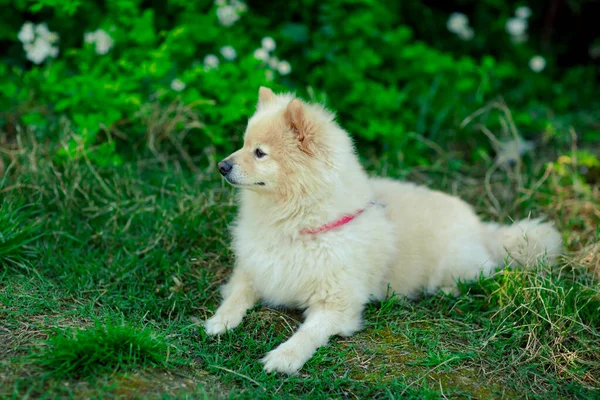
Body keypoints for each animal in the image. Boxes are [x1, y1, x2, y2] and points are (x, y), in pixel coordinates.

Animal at [203, 86, 564, 374]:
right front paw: (220, 321)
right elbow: (236, 296)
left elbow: (308, 333)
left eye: (259, 153)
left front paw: (284, 357)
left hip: (454, 264)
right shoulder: (254, 269)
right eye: (243, 145)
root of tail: (481, 228)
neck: (299, 224)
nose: (222, 165)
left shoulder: (337, 304)